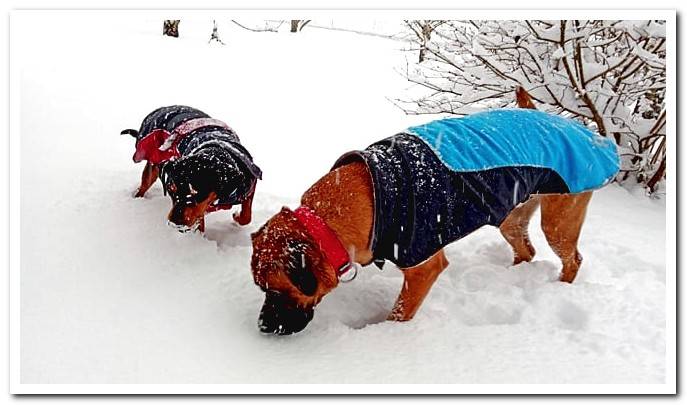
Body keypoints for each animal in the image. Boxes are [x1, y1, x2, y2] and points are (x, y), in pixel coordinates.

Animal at [121, 105, 260, 230]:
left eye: (196, 193)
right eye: (171, 190)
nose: (175, 223)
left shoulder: (250, 184)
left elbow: (247, 216)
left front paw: (237, 217)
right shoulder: (199, 210)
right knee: (143, 186)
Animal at [251, 89, 612, 334]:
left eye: (277, 290)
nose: (264, 327)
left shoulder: (421, 266)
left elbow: (399, 312)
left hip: (559, 219)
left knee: (573, 259)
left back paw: (561, 286)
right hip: (512, 215)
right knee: (526, 249)